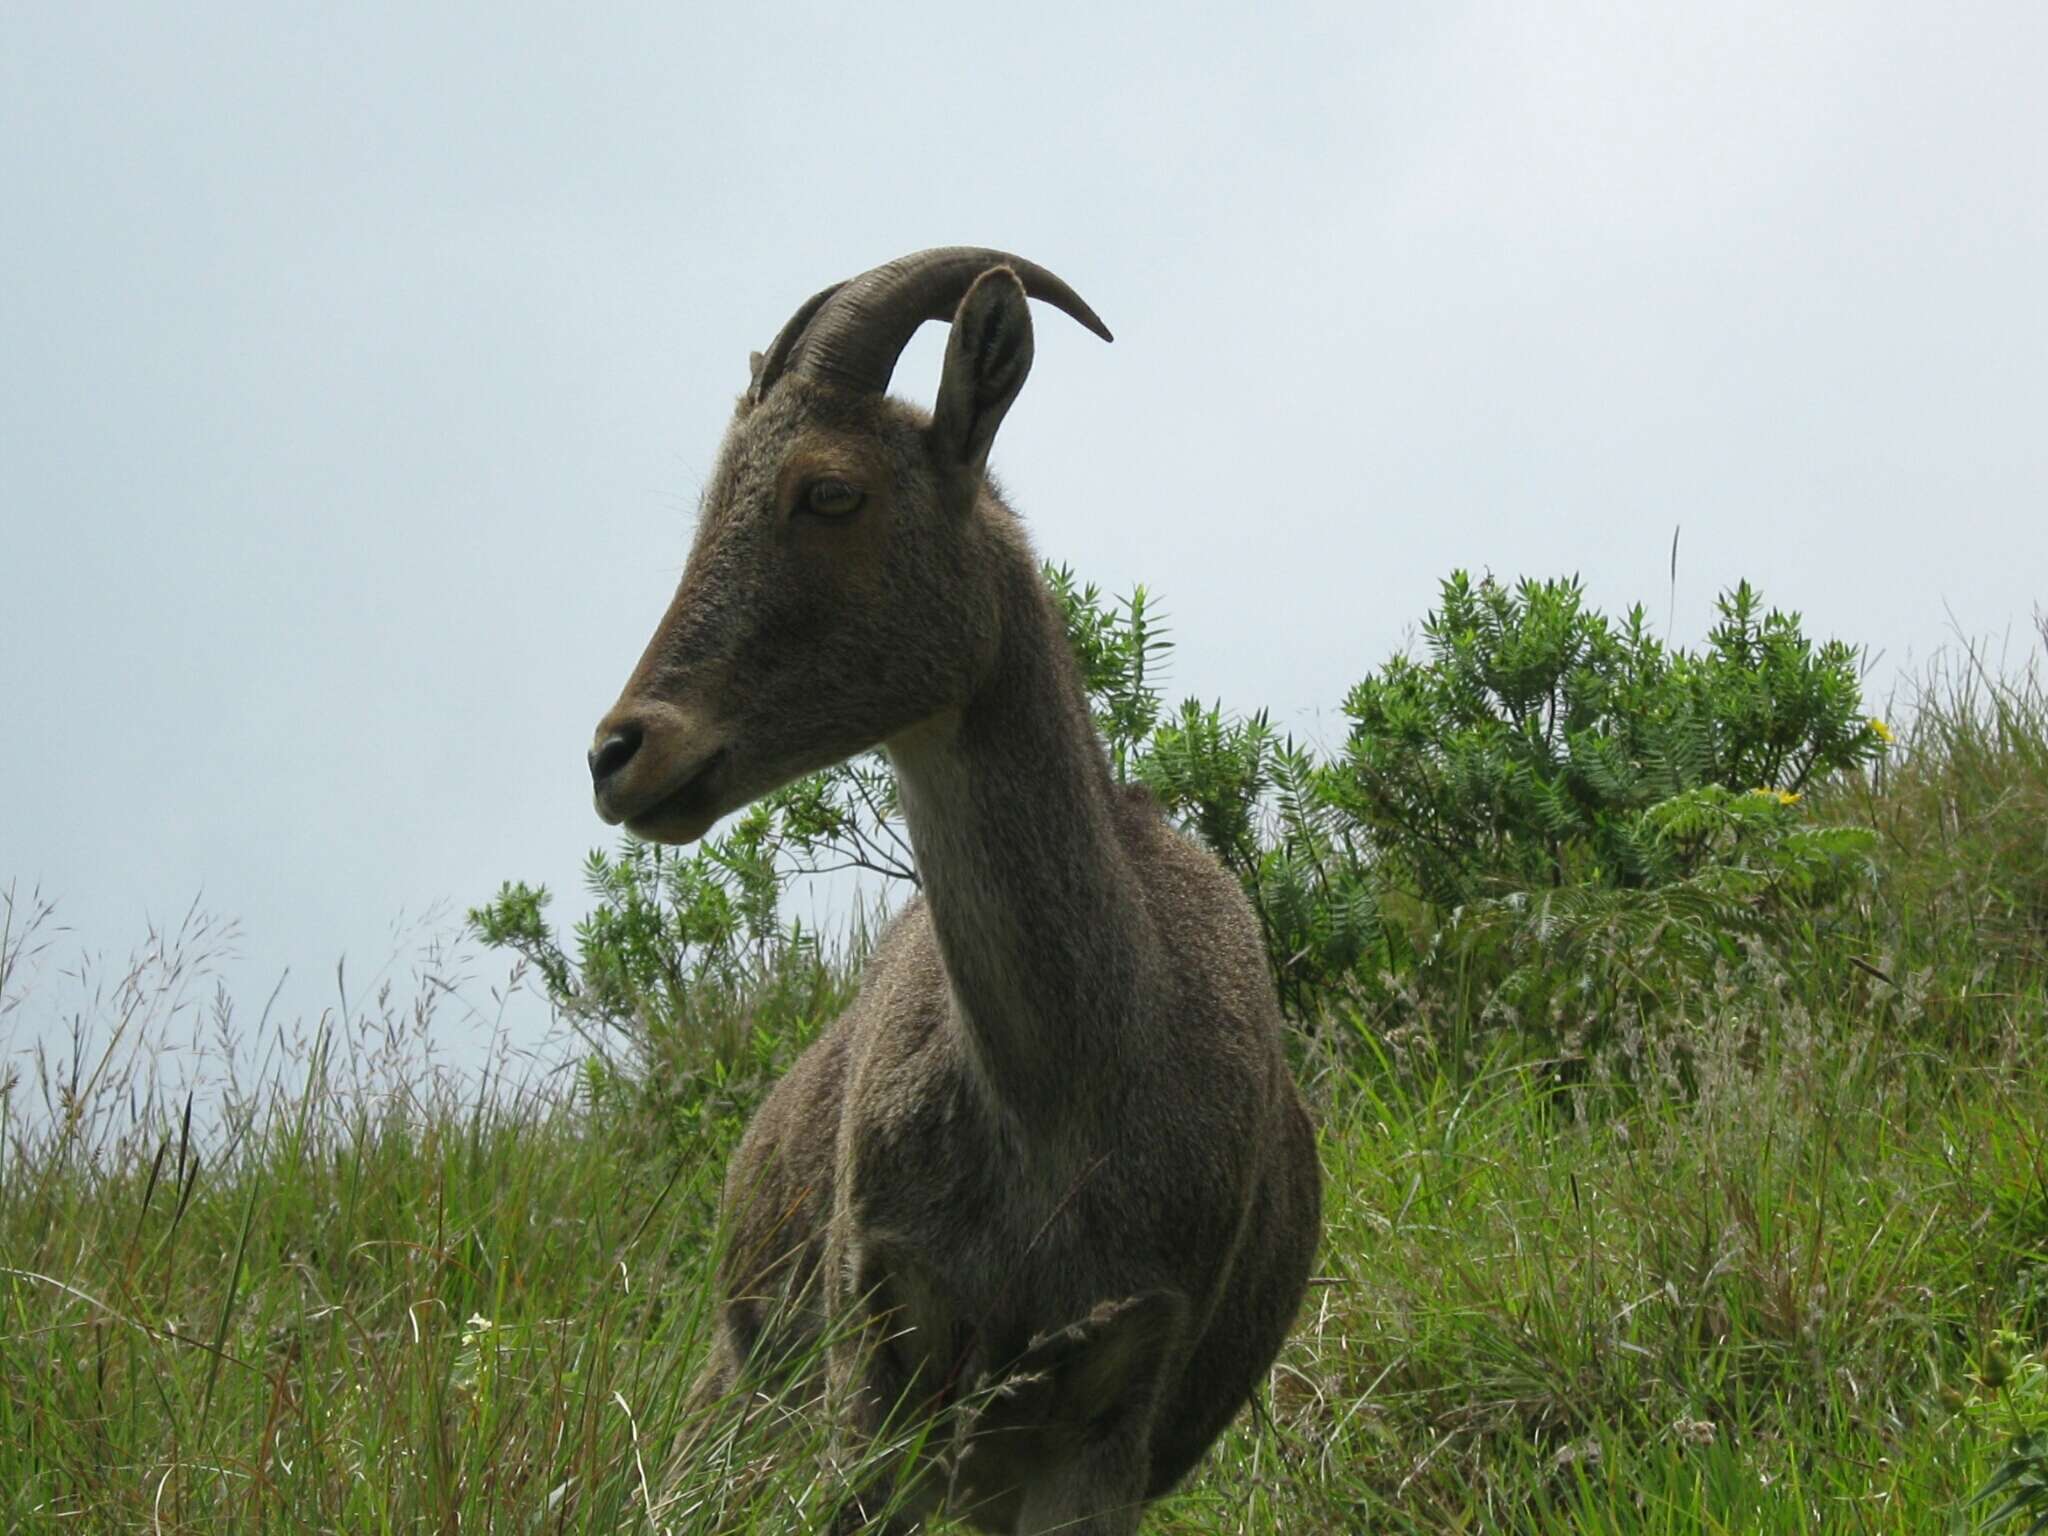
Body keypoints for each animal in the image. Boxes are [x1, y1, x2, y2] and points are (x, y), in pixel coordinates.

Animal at [589, 246, 1327, 1531]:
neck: (1060, 1085)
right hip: (741, 1372)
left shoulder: (1109, 1406)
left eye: (828, 491)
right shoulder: (879, 1356)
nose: (621, 753)